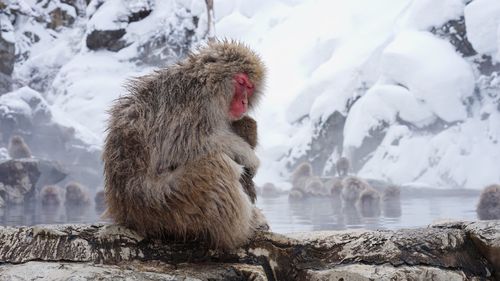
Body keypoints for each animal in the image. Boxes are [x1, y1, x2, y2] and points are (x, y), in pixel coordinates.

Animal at [103, 40, 268, 249]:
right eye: (241, 83)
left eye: (250, 87)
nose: (245, 102)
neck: (205, 84)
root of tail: (125, 212)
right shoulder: (191, 103)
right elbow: (185, 145)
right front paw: (248, 156)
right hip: (164, 204)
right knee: (218, 167)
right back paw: (244, 229)